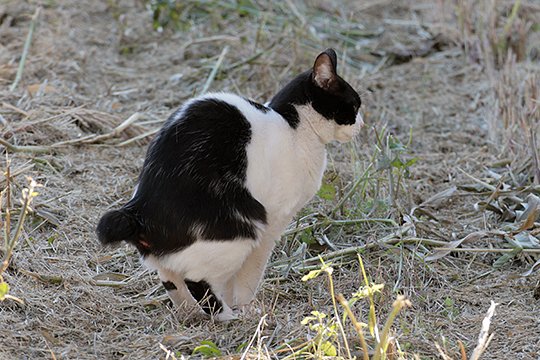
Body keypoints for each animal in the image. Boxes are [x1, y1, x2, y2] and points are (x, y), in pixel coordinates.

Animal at [96, 47, 362, 320]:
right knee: (197, 280)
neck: (295, 129)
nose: (361, 125)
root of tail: (139, 209)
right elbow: (249, 274)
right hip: (241, 233)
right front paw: (246, 308)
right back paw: (225, 316)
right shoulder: (271, 224)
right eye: (354, 105)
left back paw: (189, 315)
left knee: (171, 279)